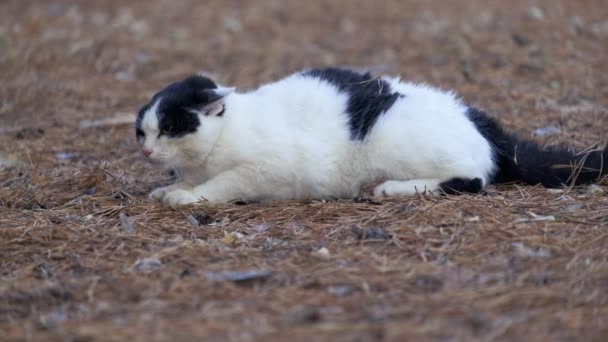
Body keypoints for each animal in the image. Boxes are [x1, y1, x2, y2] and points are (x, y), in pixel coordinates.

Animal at [134, 65, 608, 207]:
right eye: (142, 131)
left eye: (171, 128)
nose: (148, 149)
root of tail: (481, 121)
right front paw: (171, 188)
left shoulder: (269, 169)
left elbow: (224, 183)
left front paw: (188, 196)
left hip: (403, 143)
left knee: (472, 178)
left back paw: (390, 188)